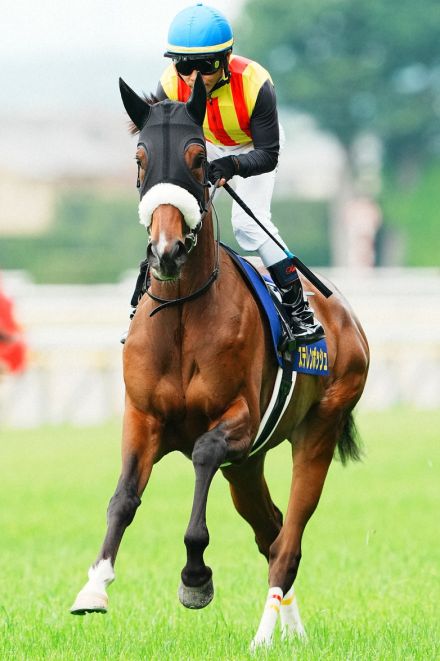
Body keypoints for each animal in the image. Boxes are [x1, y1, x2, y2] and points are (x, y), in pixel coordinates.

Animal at [70, 73, 370, 648]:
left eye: (196, 156)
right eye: (140, 157)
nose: (165, 251)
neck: (183, 313)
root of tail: (346, 317)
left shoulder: (238, 421)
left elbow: (204, 458)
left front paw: (195, 577)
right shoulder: (144, 416)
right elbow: (123, 497)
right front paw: (94, 587)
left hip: (317, 430)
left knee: (288, 541)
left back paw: (263, 635)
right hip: (248, 467)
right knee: (272, 530)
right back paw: (290, 631)